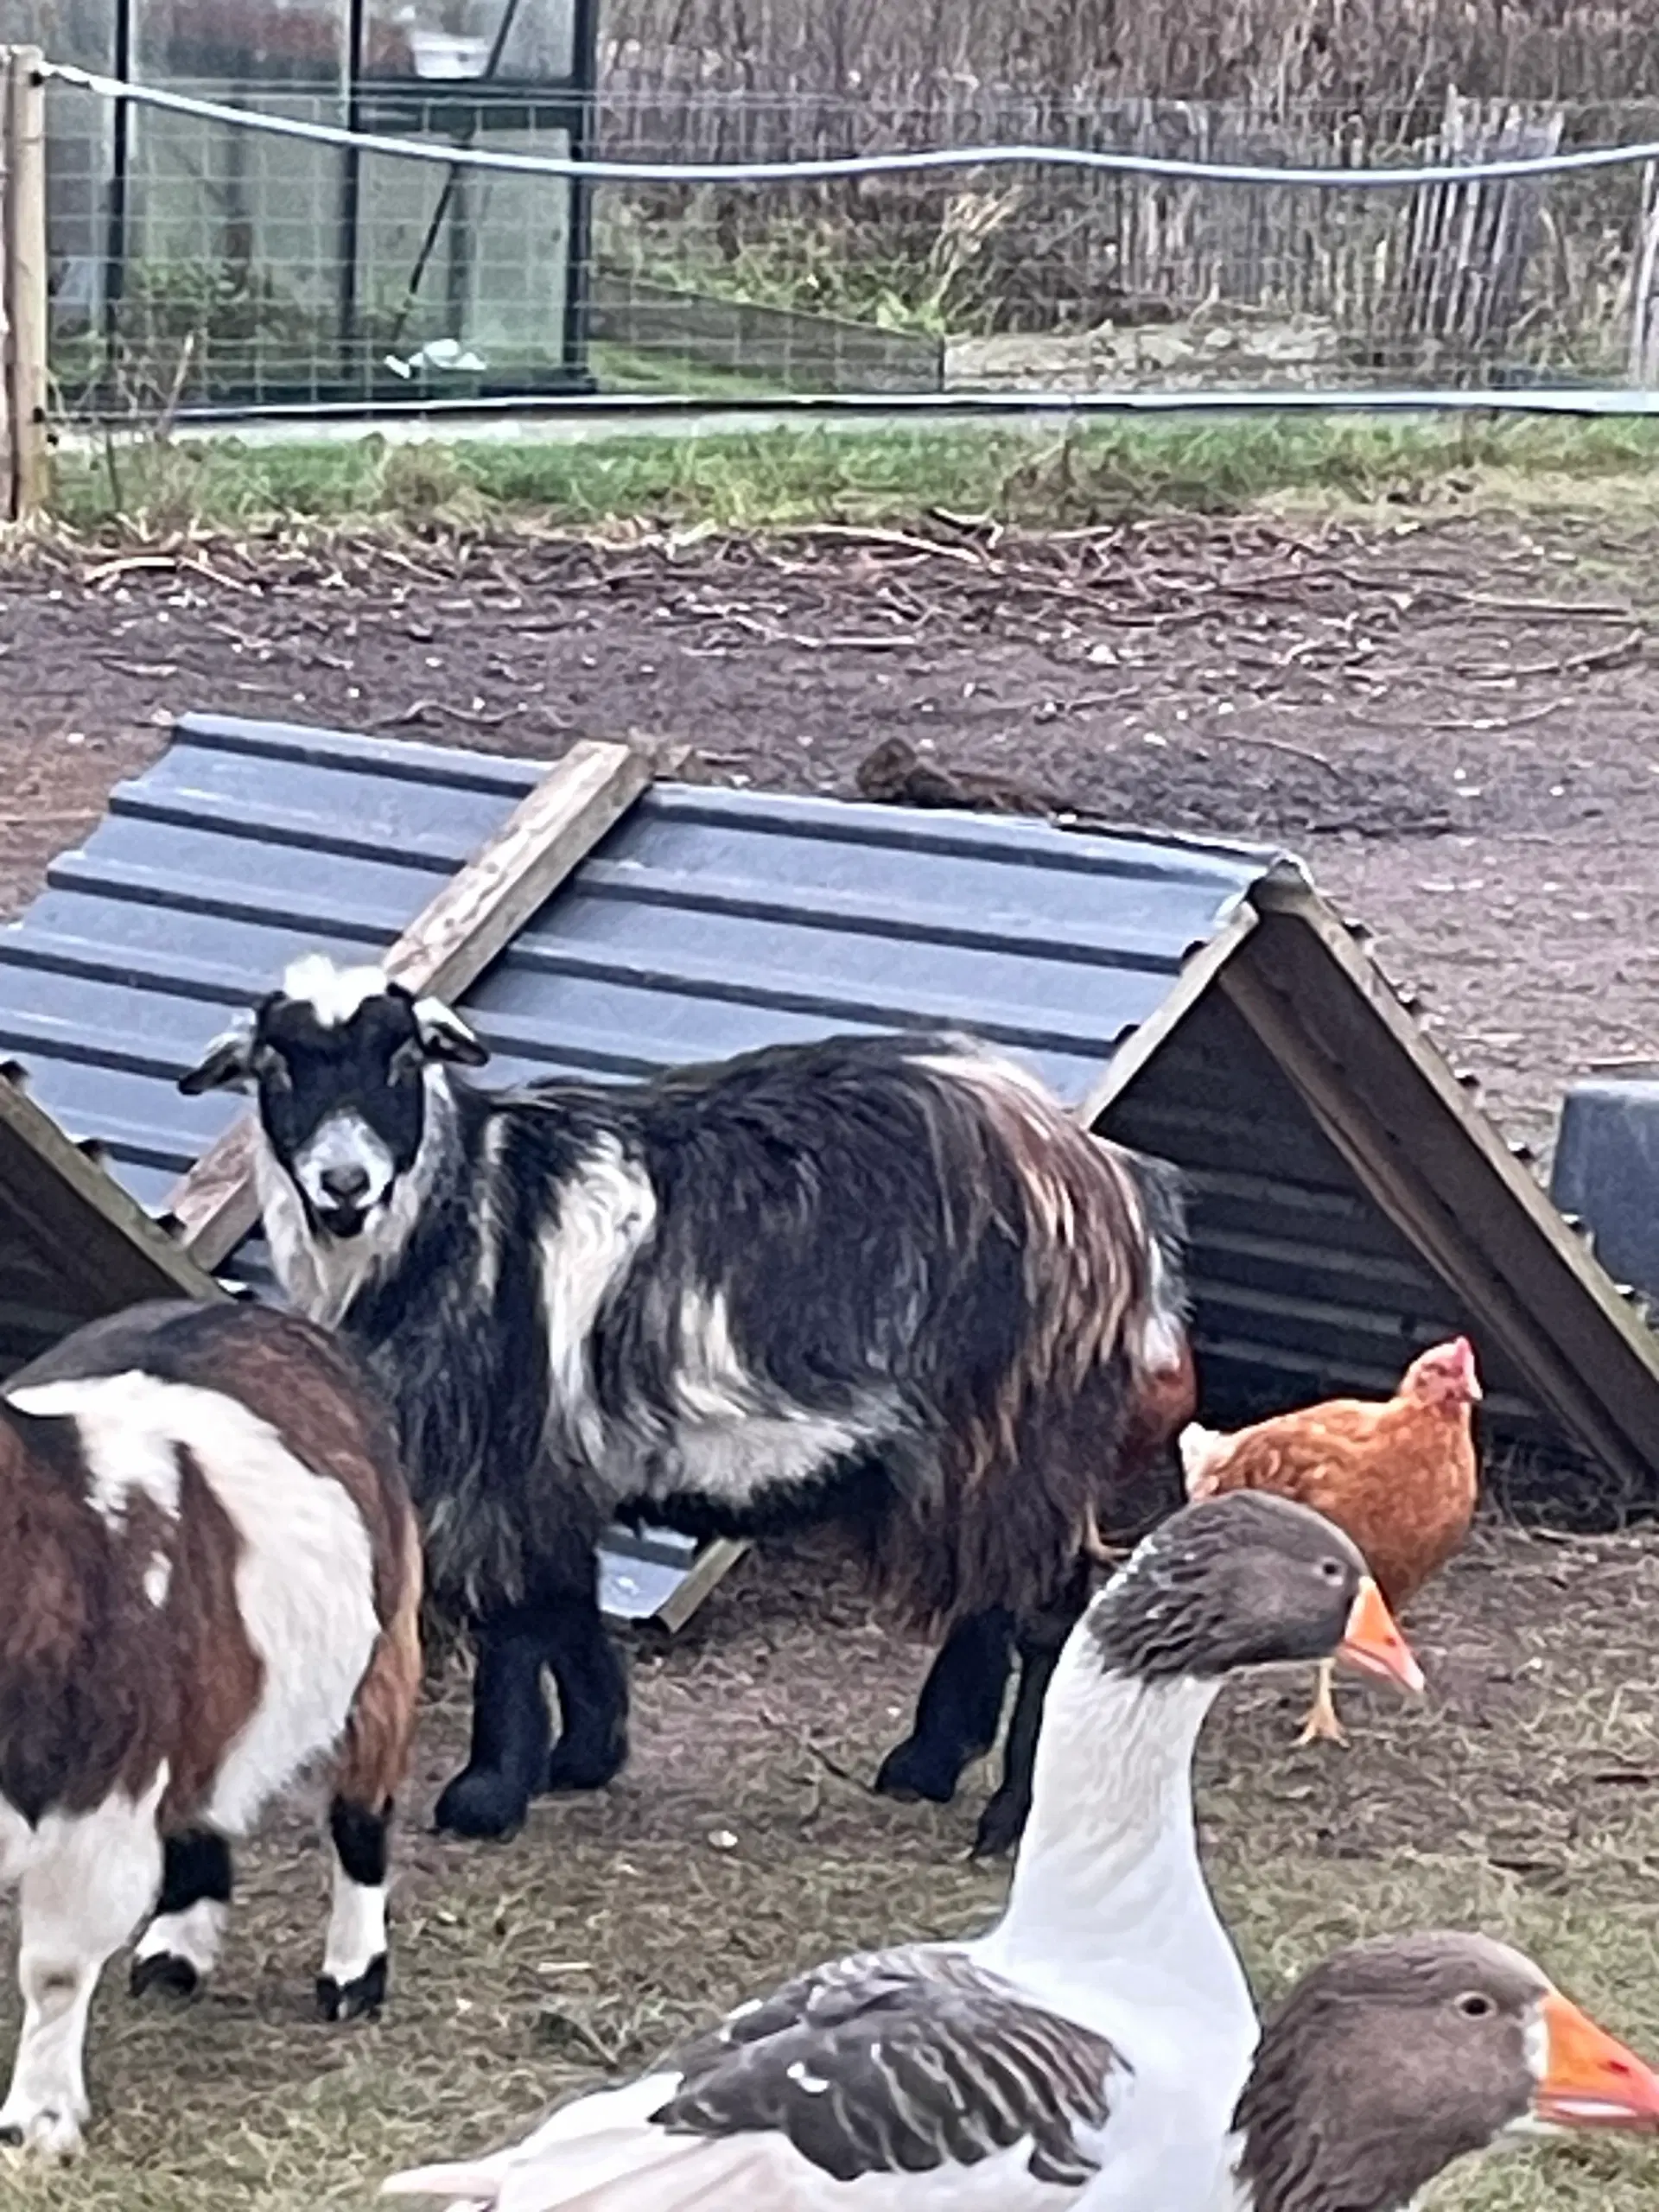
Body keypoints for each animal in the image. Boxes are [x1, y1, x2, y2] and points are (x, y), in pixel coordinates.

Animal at [0, 1300, 422, 2150]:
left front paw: (38, 2126)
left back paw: (353, 1976)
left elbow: (55, 1970)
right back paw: (175, 1954)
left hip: (384, 1656)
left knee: (359, 1819)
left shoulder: (102, 1806)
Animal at [181, 950, 1185, 1849]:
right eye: (278, 1066)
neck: (457, 1211)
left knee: (1049, 1608)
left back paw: (1011, 1815)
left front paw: (487, 1791)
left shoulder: (504, 1453)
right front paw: (587, 1752)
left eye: (402, 1058)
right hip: (988, 1440)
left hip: (1029, 1421)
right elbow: (565, 1598)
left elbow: (513, 1621)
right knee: (992, 1591)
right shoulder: (559, 1458)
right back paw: (928, 1762)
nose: (343, 1186)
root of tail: (1099, 1175)